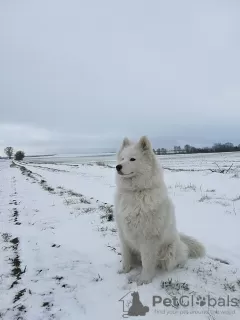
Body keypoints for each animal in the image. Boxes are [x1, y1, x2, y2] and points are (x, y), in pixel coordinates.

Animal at [114, 135, 204, 284]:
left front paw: (144, 280)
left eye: (132, 159)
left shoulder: (148, 238)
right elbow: (126, 256)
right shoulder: (123, 233)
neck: (136, 192)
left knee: (175, 261)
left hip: (170, 251)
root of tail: (180, 239)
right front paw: (124, 271)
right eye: (122, 158)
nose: (117, 167)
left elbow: (147, 262)